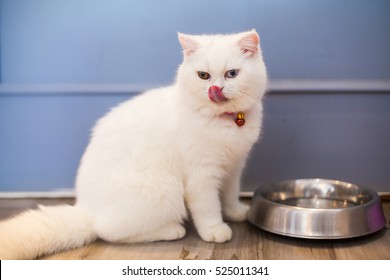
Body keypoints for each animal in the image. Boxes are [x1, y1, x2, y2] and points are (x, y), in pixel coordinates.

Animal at [0, 29, 266, 260]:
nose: (215, 89)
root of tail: (85, 208)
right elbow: (209, 207)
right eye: (203, 76)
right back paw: (171, 230)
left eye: (232, 74)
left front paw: (236, 213)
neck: (226, 121)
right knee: (108, 231)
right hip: (164, 189)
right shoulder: (202, 176)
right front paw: (215, 229)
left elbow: (229, 195)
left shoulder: (234, 167)